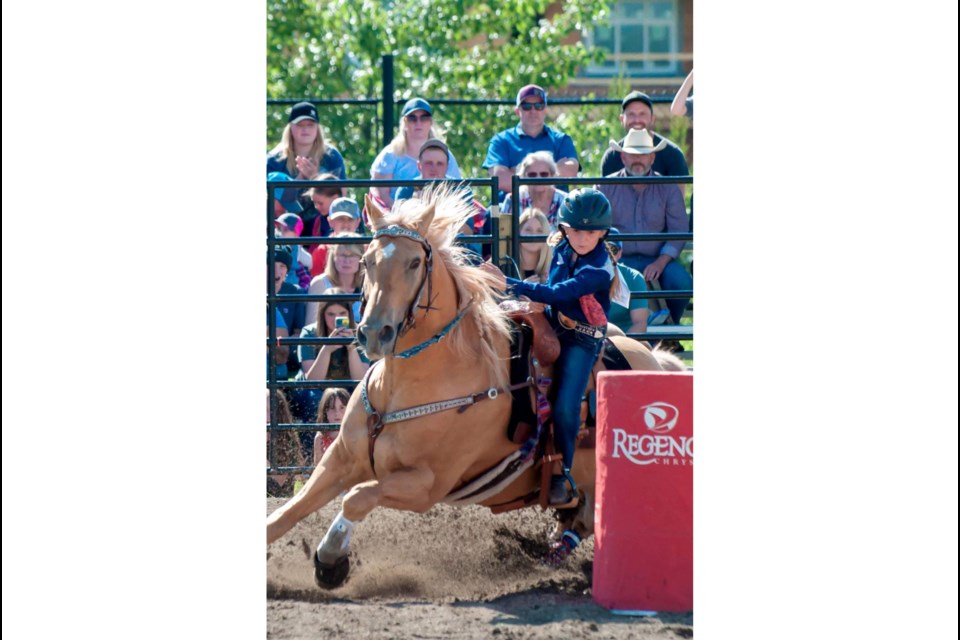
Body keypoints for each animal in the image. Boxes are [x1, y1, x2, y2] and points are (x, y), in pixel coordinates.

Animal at [262, 185, 668, 584]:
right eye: (367, 262)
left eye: (414, 263)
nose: (375, 333)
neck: (406, 386)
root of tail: (655, 361)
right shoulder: (340, 459)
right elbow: (285, 514)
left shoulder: (426, 485)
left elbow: (357, 498)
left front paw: (331, 560)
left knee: (587, 519)